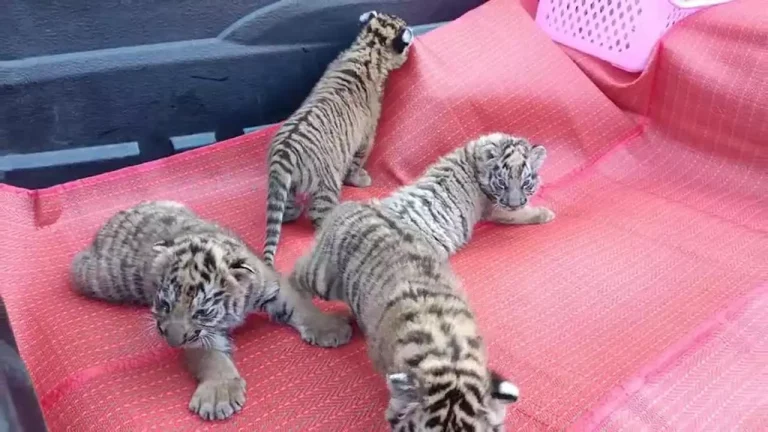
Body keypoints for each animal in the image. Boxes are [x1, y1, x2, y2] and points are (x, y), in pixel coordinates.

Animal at [70, 200, 352, 420]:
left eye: (201, 312)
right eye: (164, 305)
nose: (172, 342)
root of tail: (111, 220)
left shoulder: (272, 285)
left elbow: (302, 305)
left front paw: (331, 328)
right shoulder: (199, 338)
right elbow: (211, 357)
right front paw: (219, 395)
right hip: (93, 277)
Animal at [262, 10, 414, 267]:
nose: (412, 36)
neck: (368, 48)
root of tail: (285, 152)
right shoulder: (367, 136)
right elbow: (357, 162)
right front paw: (360, 179)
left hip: (287, 186)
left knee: (287, 209)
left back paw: (293, 212)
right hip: (327, 184)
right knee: (318, 216)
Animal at [289, 133, 553, 430]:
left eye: (527, 182)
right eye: (502, 183)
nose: (515, 200)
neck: (471, 154)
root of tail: (353, 205)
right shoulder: (495, 208)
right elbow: (518, 215)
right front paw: (542, 213)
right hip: (323, 276)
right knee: (293, 277)